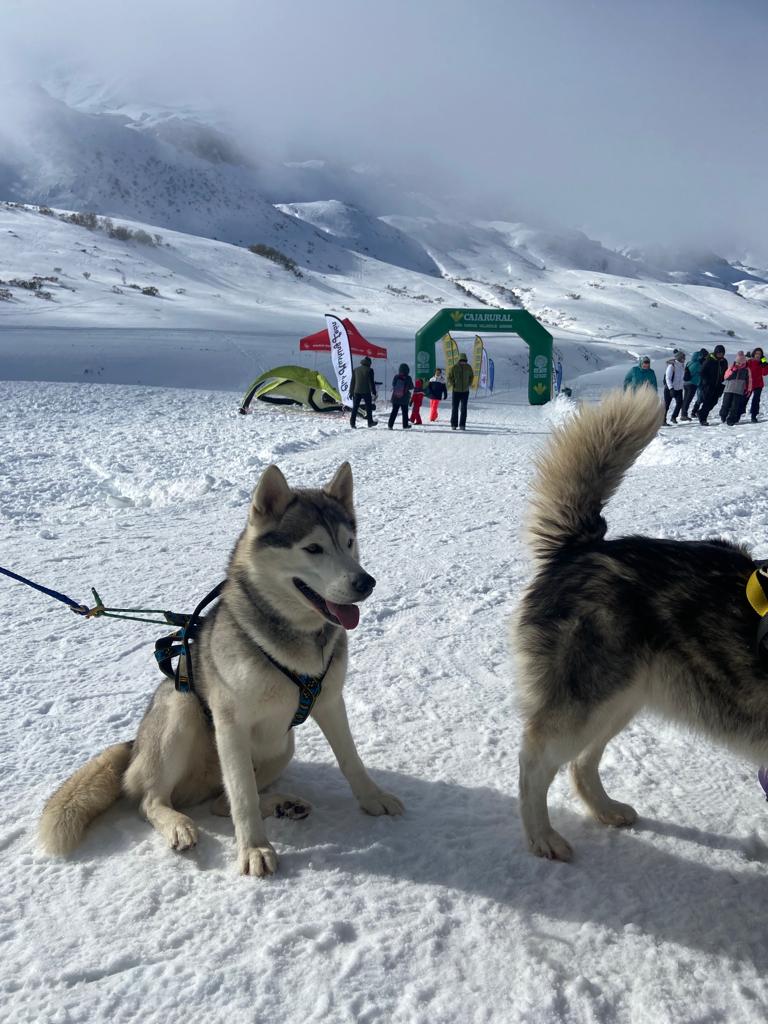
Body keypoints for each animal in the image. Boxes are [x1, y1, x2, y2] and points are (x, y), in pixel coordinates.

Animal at [40, 462, 403, 872]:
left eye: (349, 542)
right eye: (313, 548)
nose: (366, 582)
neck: (296, 643)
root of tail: (135, 744)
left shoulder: (329, 702)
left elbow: (350, 760)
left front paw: (373, 798)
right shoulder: (231, 723)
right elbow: (242, 797)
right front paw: (254, 849)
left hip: (283, 745)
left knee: (220, 802)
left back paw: (281, 804)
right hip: (181, 709)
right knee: (154, 800)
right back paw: (178, 824)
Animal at [518, 391, 768, 864]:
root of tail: (584, 547)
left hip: (623, 698)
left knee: (581, 763)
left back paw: (604, 809)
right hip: (589, 701)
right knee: (535, 762)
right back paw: (542, 837)